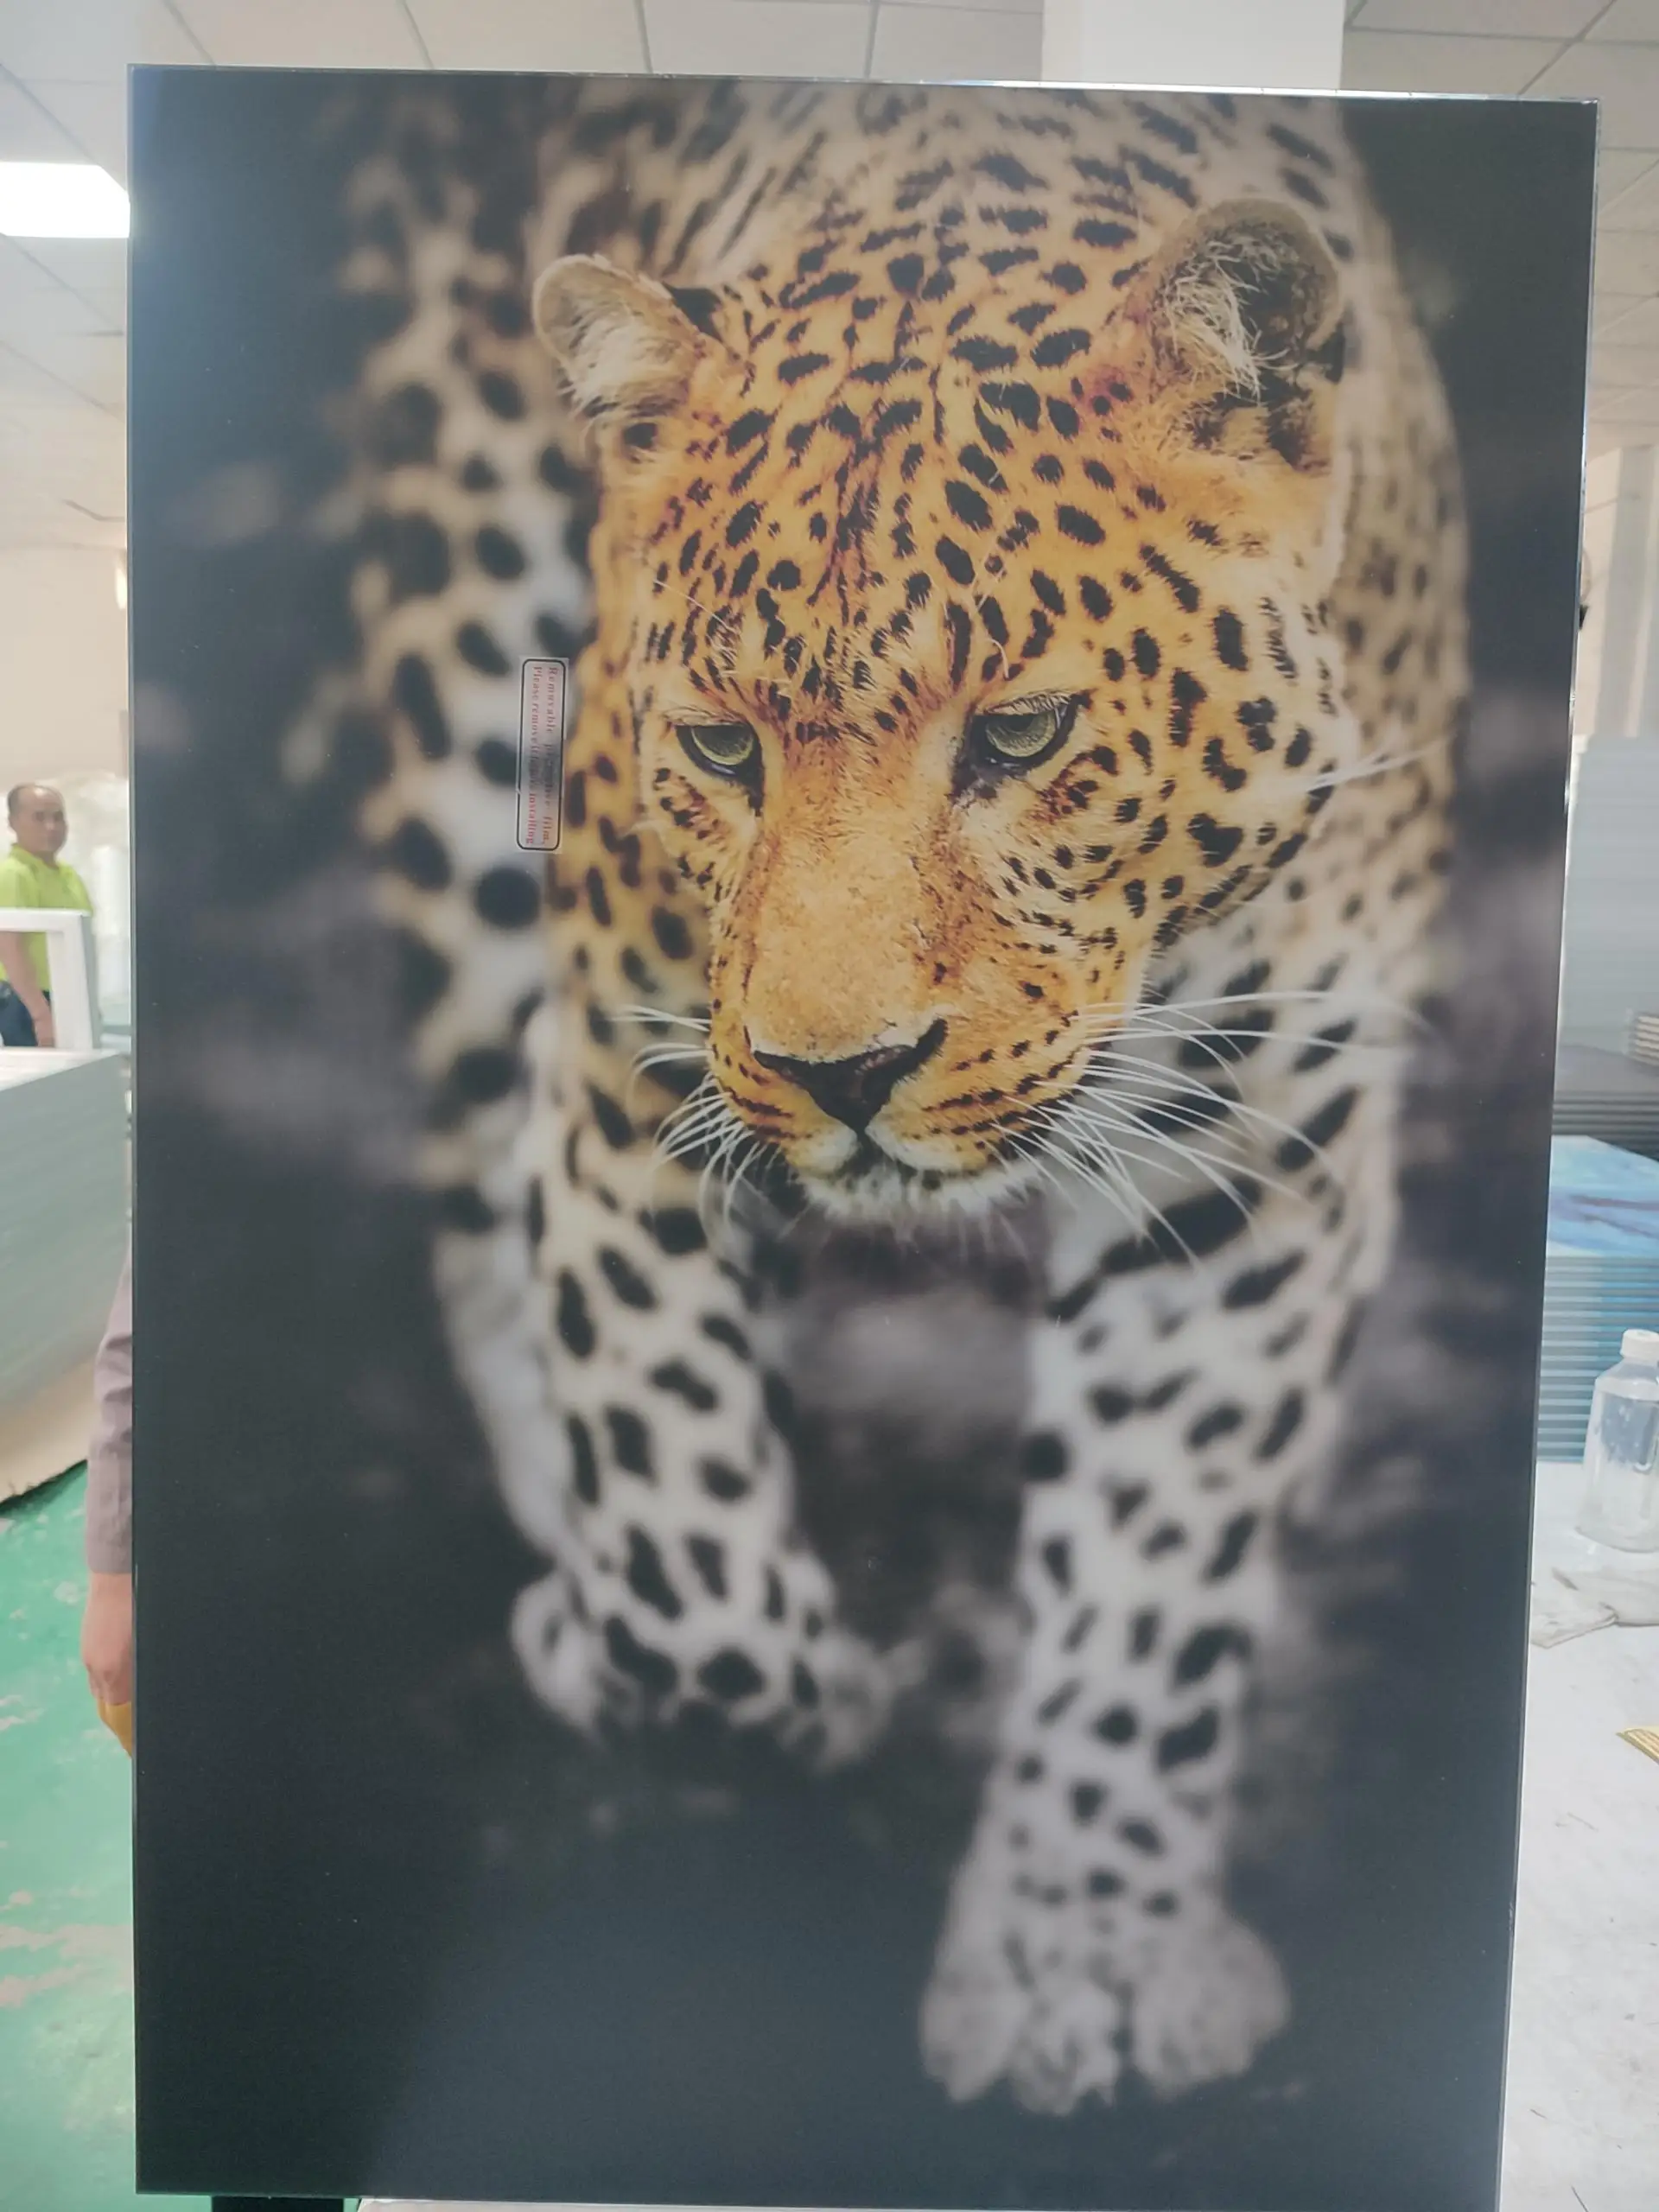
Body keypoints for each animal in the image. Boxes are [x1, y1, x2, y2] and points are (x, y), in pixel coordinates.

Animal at [307, 75, 1466, 2116]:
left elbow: (1154, 1579)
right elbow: (680, 1546)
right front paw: (697, 1655)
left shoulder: (1252, 1164)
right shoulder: (628, 1073)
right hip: (458, 697)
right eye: (719, 748)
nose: (837, 1073)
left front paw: (1087, 1938)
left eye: (1019, 734)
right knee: (474, 1187)